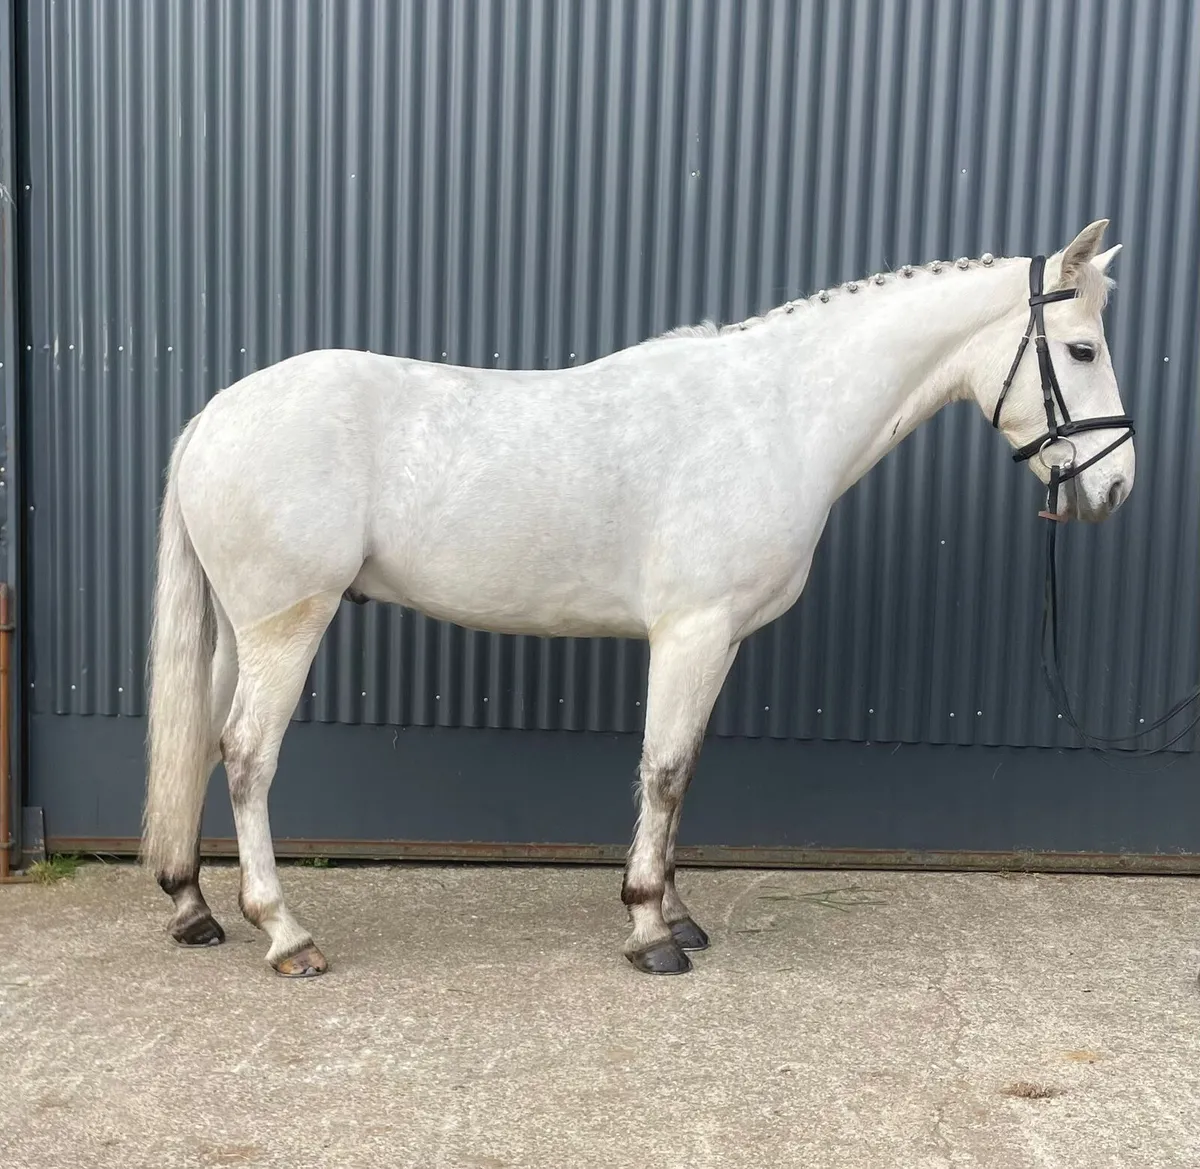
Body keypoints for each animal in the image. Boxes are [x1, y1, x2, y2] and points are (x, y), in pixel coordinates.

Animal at [143, 219, 1133, 977]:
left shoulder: (719, 640)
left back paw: (194, 907)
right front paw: (652, 929)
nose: (1115, 487)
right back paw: (285, 933)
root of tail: (216, 414)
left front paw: (677, 910)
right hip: (287, 625)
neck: (775, 414)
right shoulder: (691, 631)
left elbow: (683, 771)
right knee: (247, 755)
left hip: (237, 629)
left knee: (197, 740)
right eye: (1082, 348)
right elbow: (660, 769)